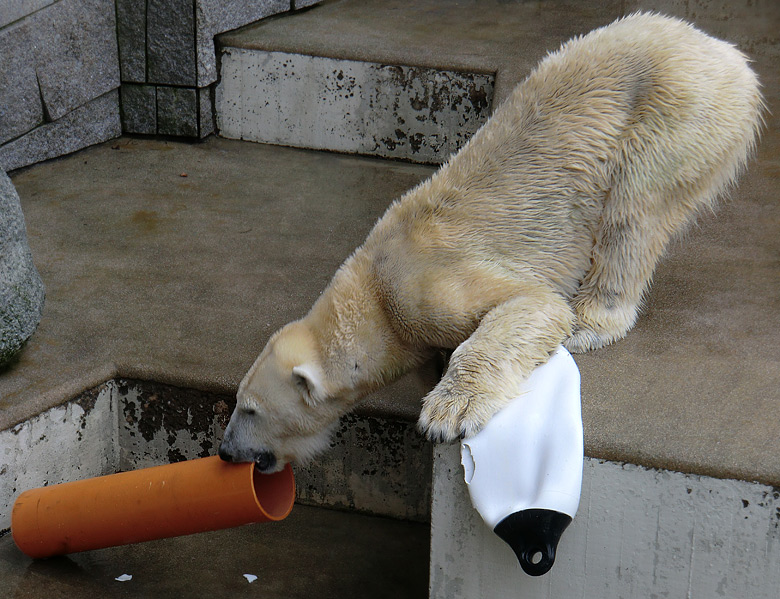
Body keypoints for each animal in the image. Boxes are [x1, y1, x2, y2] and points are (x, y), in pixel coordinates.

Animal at [218, 12, 760, 474]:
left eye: (249, 409)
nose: (224, 451)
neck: (373, 286)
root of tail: (724, 53)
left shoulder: (424, 290)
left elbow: (531, 305)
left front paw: (447, 412)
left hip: (674, 113)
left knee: (633, 212)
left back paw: (591, 321)